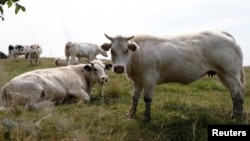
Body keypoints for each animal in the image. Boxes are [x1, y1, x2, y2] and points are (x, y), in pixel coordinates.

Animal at [100, 30, 245, 122]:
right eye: (112, 50)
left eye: (126, 50)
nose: (119, 68)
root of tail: (223, 34)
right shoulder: (137, 81)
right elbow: (135, 98)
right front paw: (131, 115)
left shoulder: (149, 78)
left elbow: (147, 99)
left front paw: (146, 118)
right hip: (226, 74)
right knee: (236, 93)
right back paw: (236, 114)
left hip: (229, 74)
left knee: (237, 92)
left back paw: (237, 116)